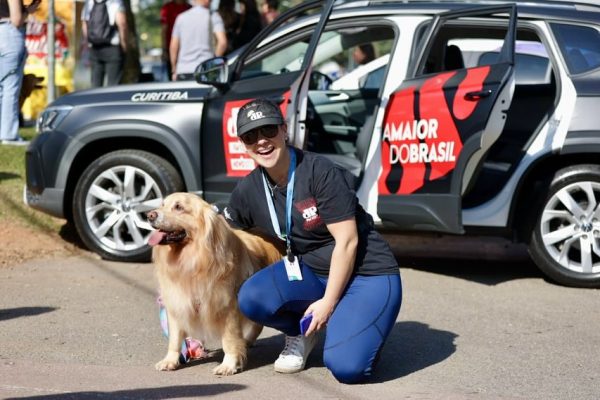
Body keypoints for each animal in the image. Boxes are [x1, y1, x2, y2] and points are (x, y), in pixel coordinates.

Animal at [147, 193, 284, 376]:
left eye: (178, 207)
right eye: (162, 205)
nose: (150, 215)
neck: (192, 259)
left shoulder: (228, 307)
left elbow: (229, 340)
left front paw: (229, 364)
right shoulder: (177, 302)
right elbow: (175, 338)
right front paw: (170, 360)